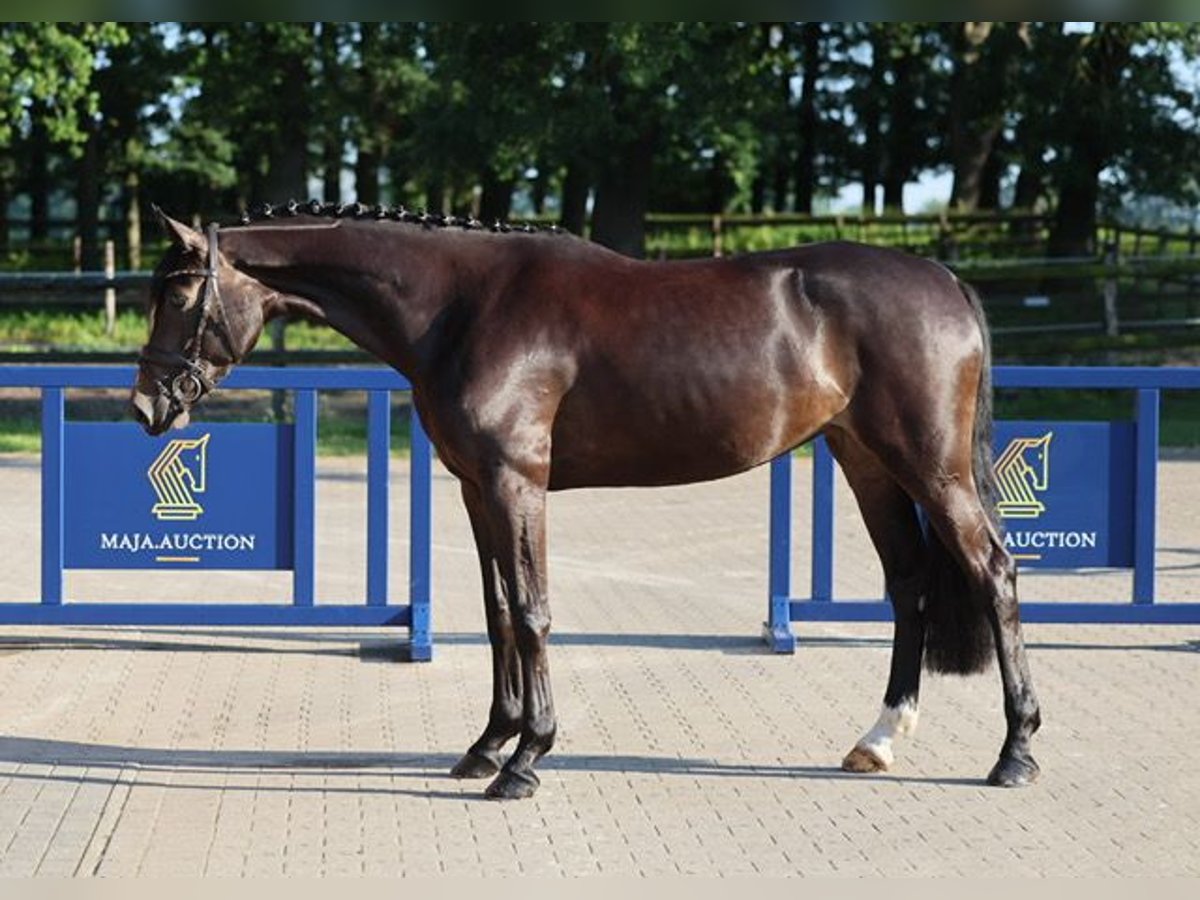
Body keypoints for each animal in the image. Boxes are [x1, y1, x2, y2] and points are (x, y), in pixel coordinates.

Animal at [133, 206, 1041, 801]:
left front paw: (526, 760)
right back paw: (878, 741)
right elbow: (500, 611)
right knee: (912, 585)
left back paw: (1014, 752)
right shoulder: (476, 486)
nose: (147, 405)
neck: (461, 305)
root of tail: (945, 279)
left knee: (993, 572)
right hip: (868, 462)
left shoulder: (516, 482)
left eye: (178, 294)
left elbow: (533, 613)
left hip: (930, 468)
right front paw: (486, 745)